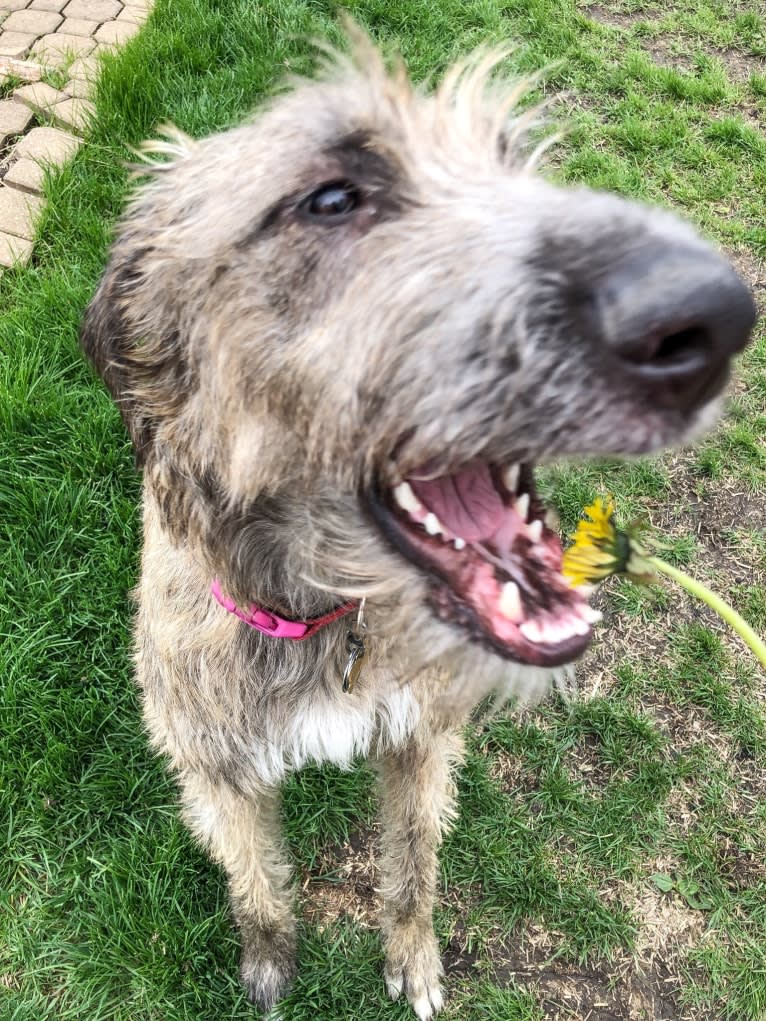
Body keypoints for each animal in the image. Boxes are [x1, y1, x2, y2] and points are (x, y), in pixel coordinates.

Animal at [81, 27, 759, 1016]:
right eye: (331, 198)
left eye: (513, 161)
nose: (709, 313)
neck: (323, 614)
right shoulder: (216, 768)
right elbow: (256, 882)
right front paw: (269, 963)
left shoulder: (420, 740)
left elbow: (412, 870)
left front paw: (413, 960)